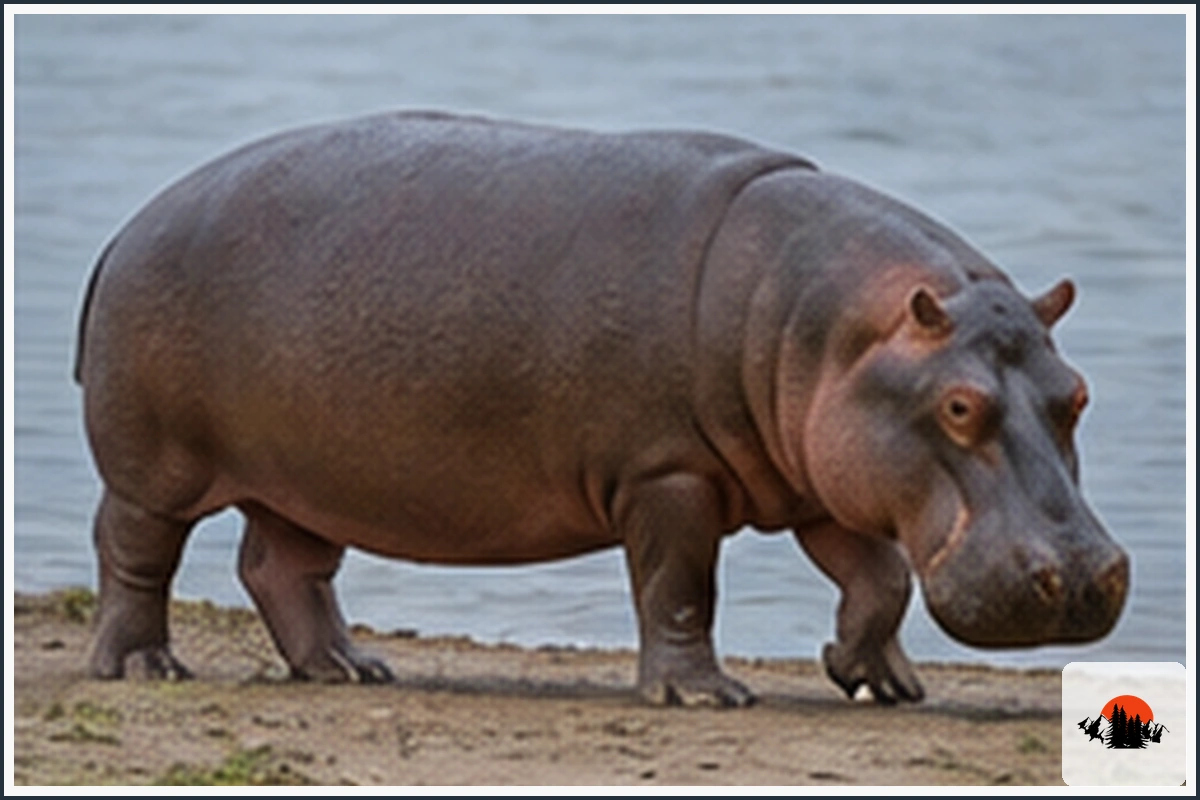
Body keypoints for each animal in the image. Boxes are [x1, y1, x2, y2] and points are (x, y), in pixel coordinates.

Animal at [76, 111, 1128, 706]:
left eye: (1078, 395)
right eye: (958, 406)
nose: (1085, 577)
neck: (831, 329)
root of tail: (128, 226)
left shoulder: (824, 475)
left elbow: (879, 577)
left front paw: (874, 679)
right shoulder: (668, 472)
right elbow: (679, 585)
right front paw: (704, 699)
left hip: (307, 473)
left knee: (282, 567)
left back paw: (349, 670)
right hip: (153, 466)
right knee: (135, 555)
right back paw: (141, 670)